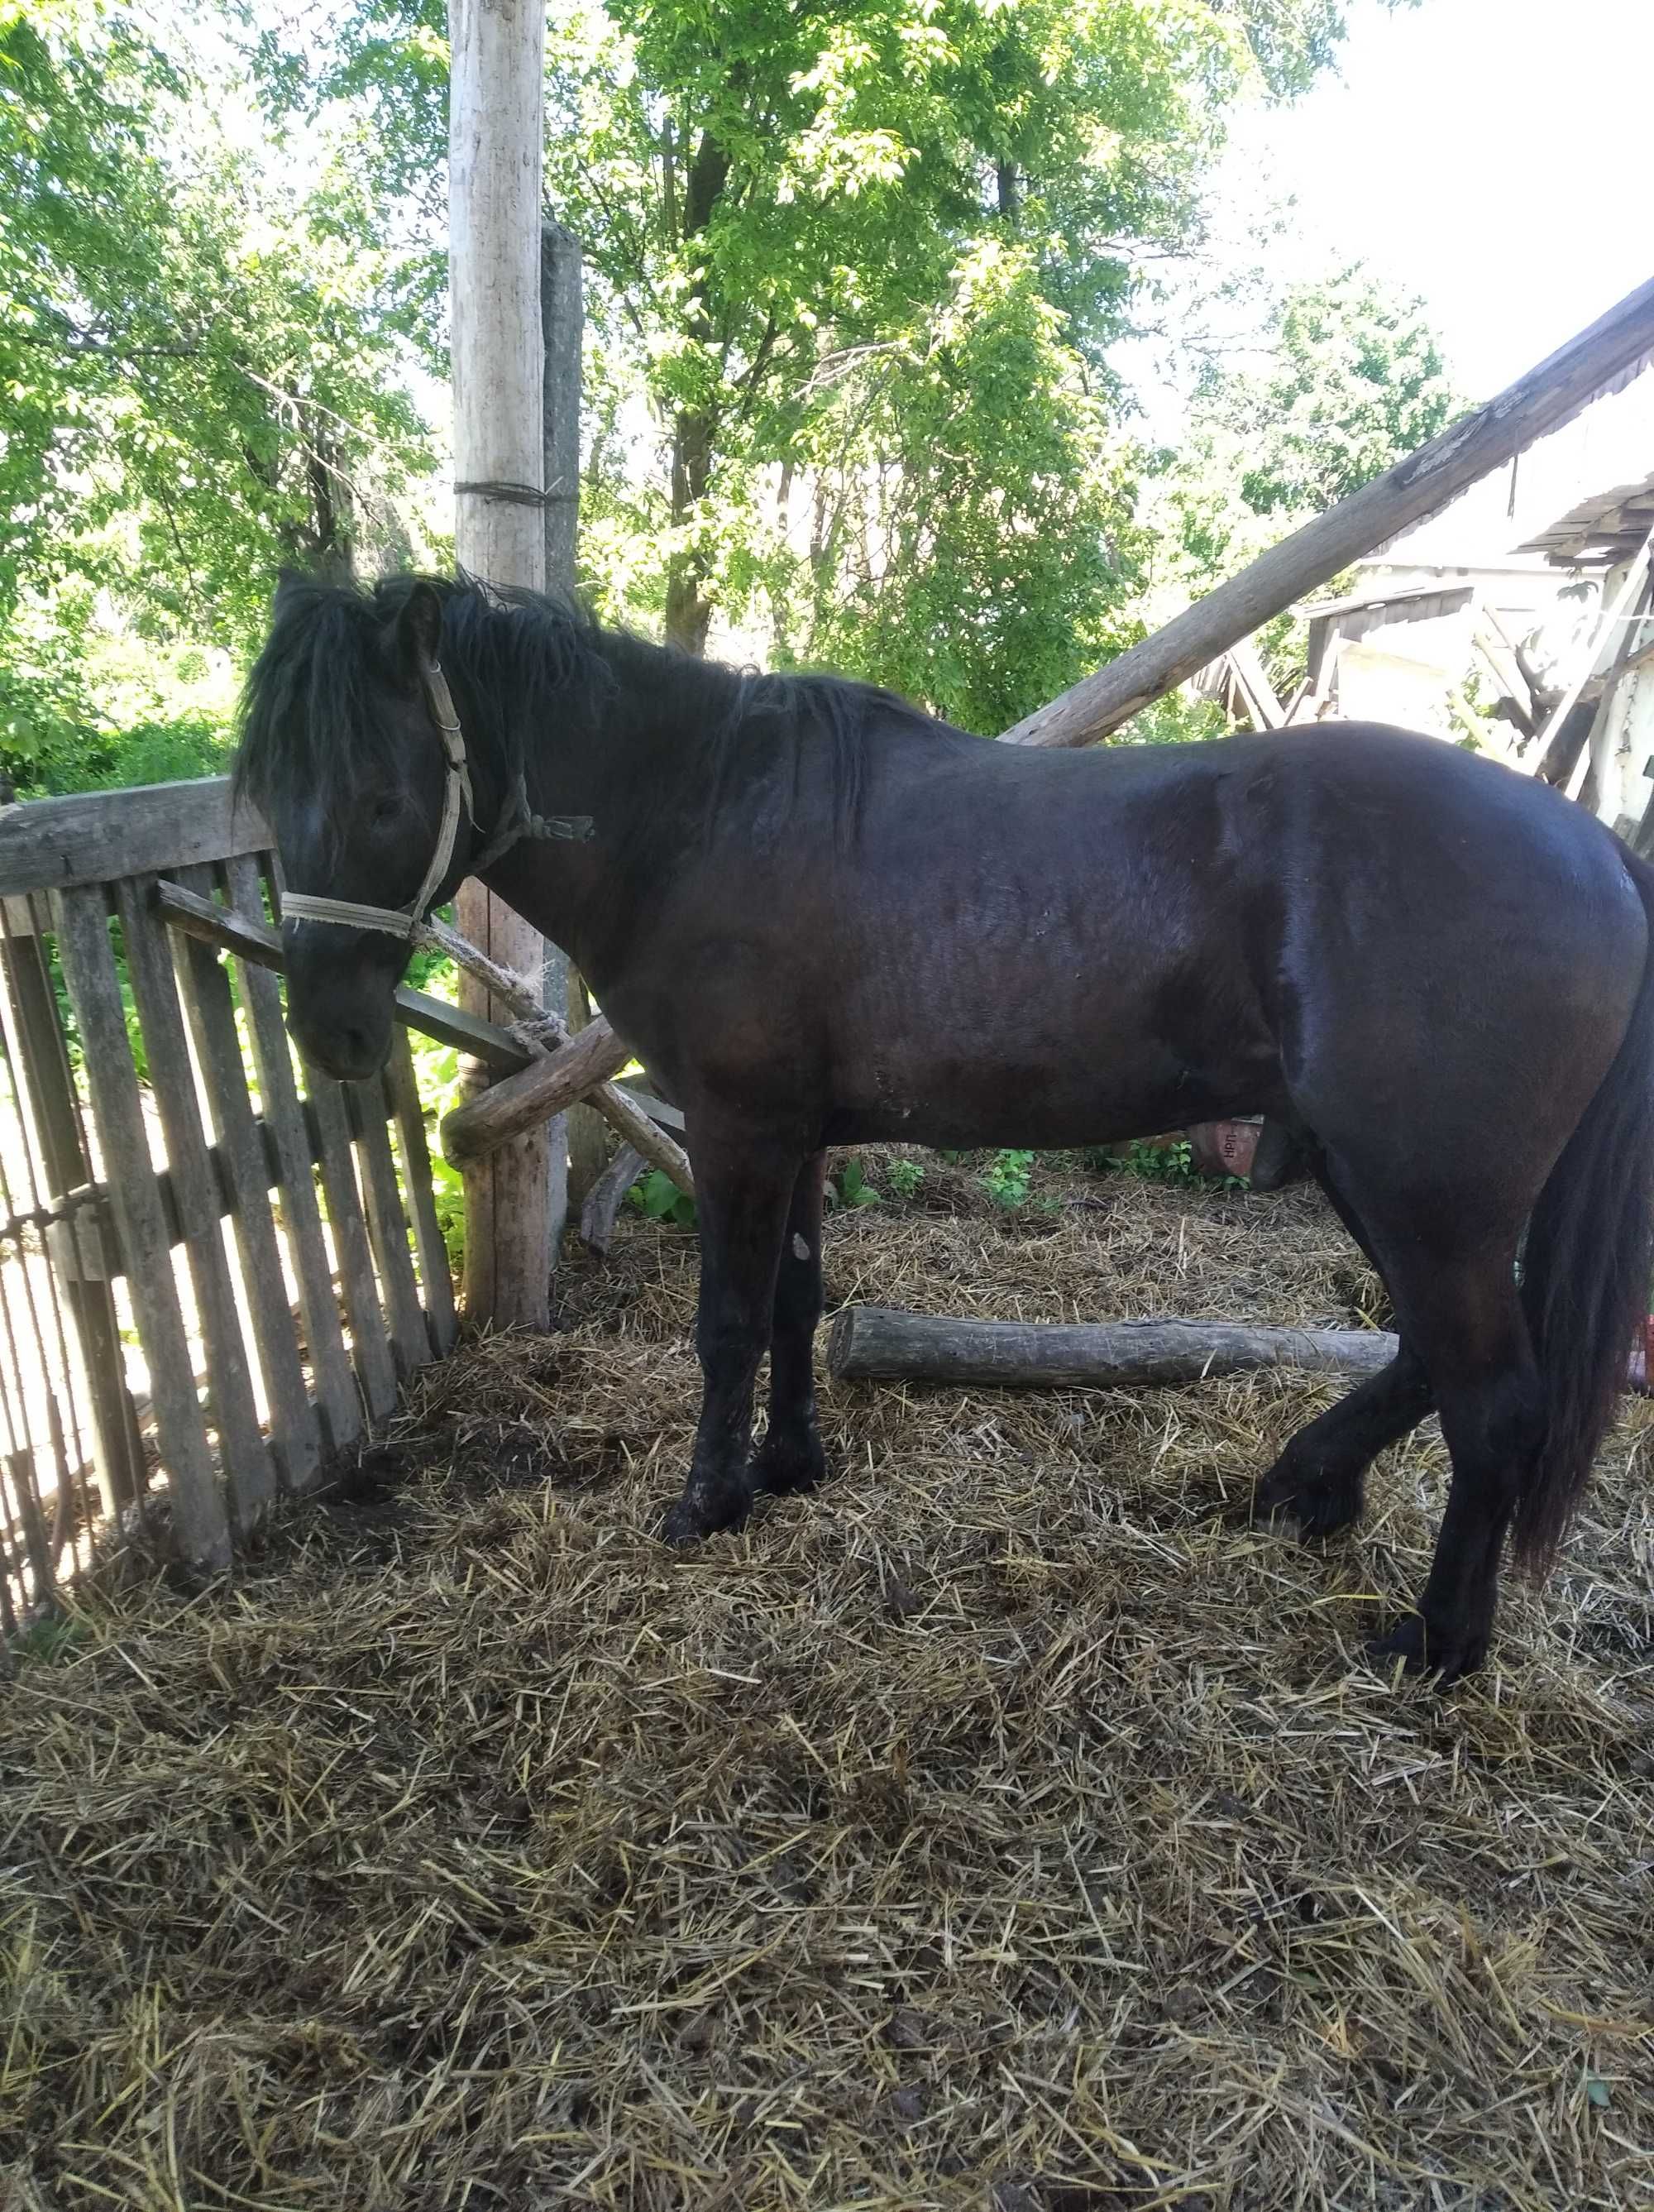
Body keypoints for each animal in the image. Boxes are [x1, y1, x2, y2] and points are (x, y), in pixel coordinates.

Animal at [235, 570, 1654, 1672]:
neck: (700, 814)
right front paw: (791, 1462)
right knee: (1429, 1356)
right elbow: (797, 1300)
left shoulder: (736, 1131)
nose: (333, 1033)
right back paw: (1307, 1484)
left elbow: (728, 1322)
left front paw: (709, 1499)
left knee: (1495, 1401)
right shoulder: (794, 1134)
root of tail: (1594, 846)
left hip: (1429, 1194)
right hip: (1388, 1183)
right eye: (264, 791)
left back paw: (1440, 1642)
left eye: (380, 797)